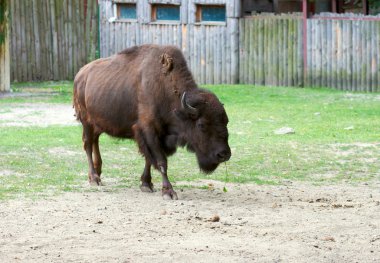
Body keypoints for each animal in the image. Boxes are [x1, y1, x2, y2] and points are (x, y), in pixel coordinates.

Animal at [72, 44, 230, 200]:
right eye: (201, 124)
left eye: (226, 121)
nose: (224, 154)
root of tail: (80, 75)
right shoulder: (149, 130)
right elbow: (161, 161)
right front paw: (168, 192)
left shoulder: (155, 136)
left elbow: (149, 159)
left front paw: (146, 184)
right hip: (86, 121)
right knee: (87, 144)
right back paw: (94, 178)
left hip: (98, 123)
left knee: (95, 141)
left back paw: (98, 173)